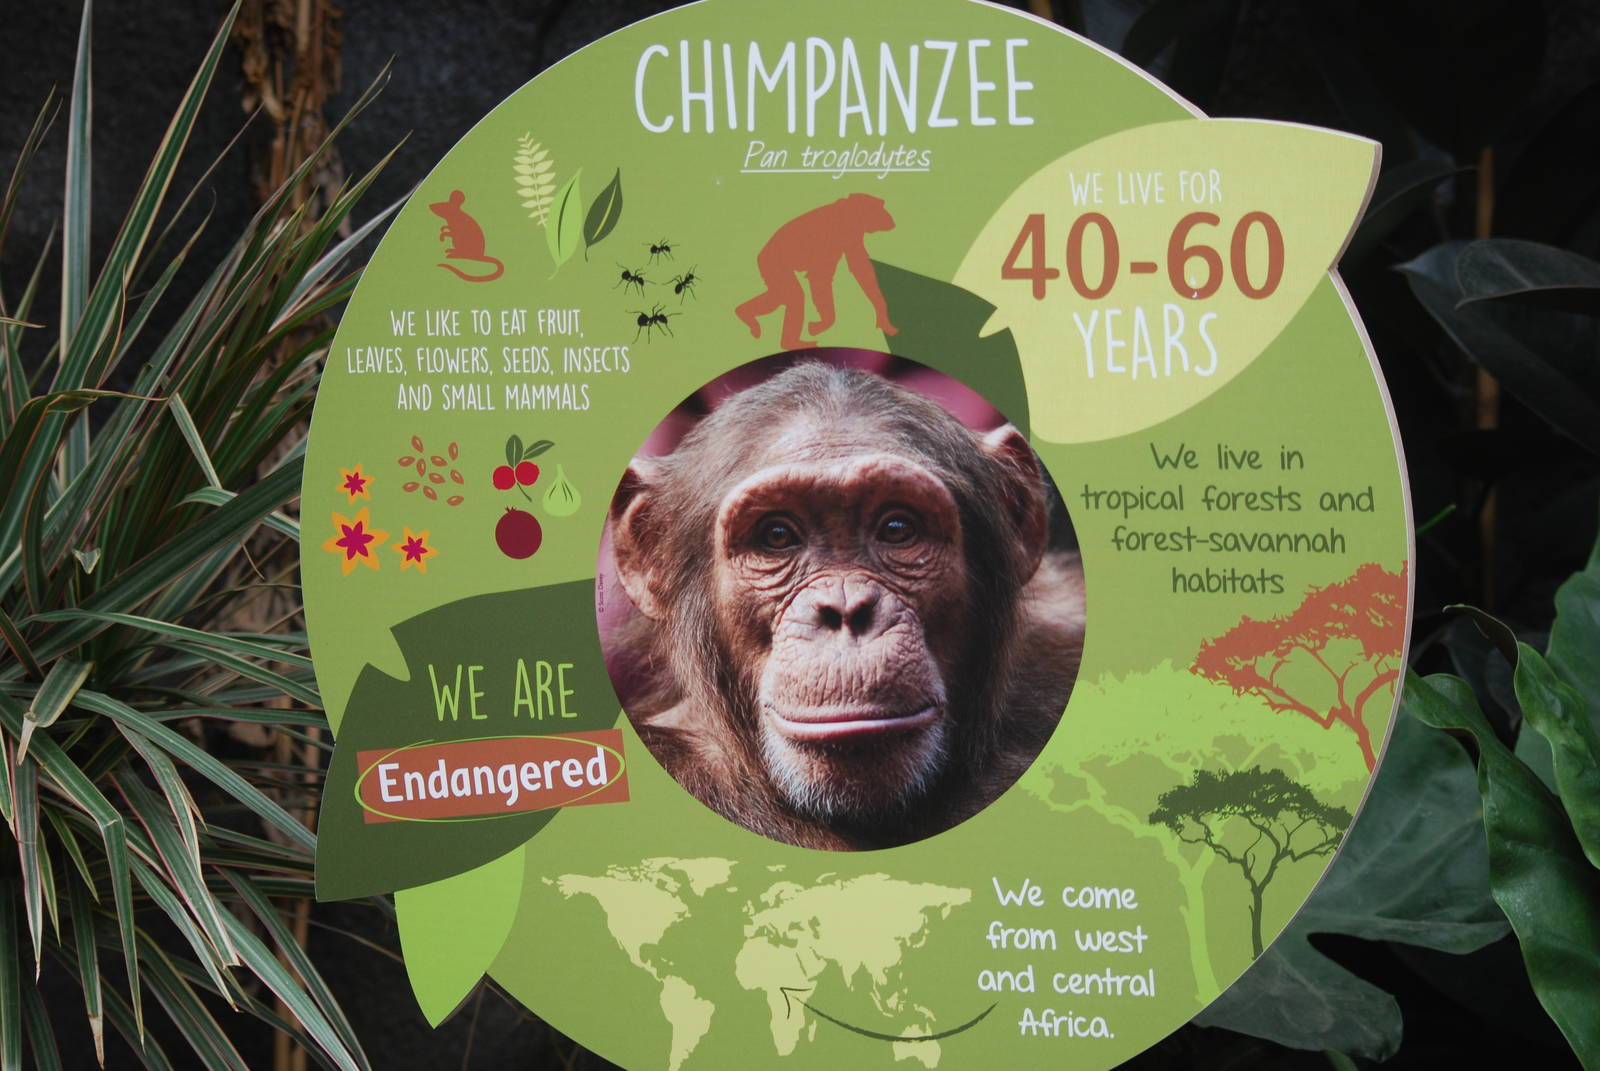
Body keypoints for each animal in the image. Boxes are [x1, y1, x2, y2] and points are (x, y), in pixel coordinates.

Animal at [734, 194, 901, 351]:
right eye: (879, 208)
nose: (889, 218)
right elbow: (821, 277)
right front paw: (825, 322)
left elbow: (859, 268)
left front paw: (882, 316)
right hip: (773, 264)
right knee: (794, 296)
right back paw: (789, 342)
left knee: (779, 296)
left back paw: (744, 313)